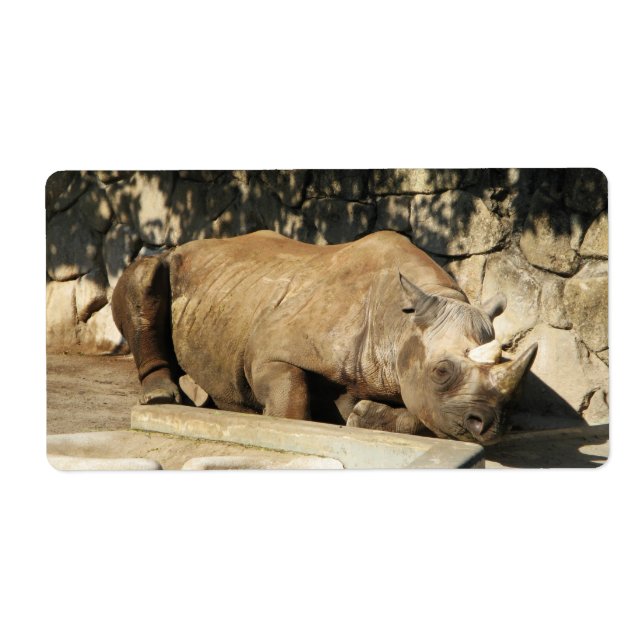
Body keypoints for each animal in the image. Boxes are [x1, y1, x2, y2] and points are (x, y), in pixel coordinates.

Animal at [112, 230, 537, 444]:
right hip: (172, 262)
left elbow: (424, 415)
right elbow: (291, 398)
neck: (399, 323)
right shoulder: (271, 353)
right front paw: (285, 423)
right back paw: (163, 398)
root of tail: (187, 244)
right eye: (442, 372)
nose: (490, 425)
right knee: (145, 273)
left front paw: (362, 415)